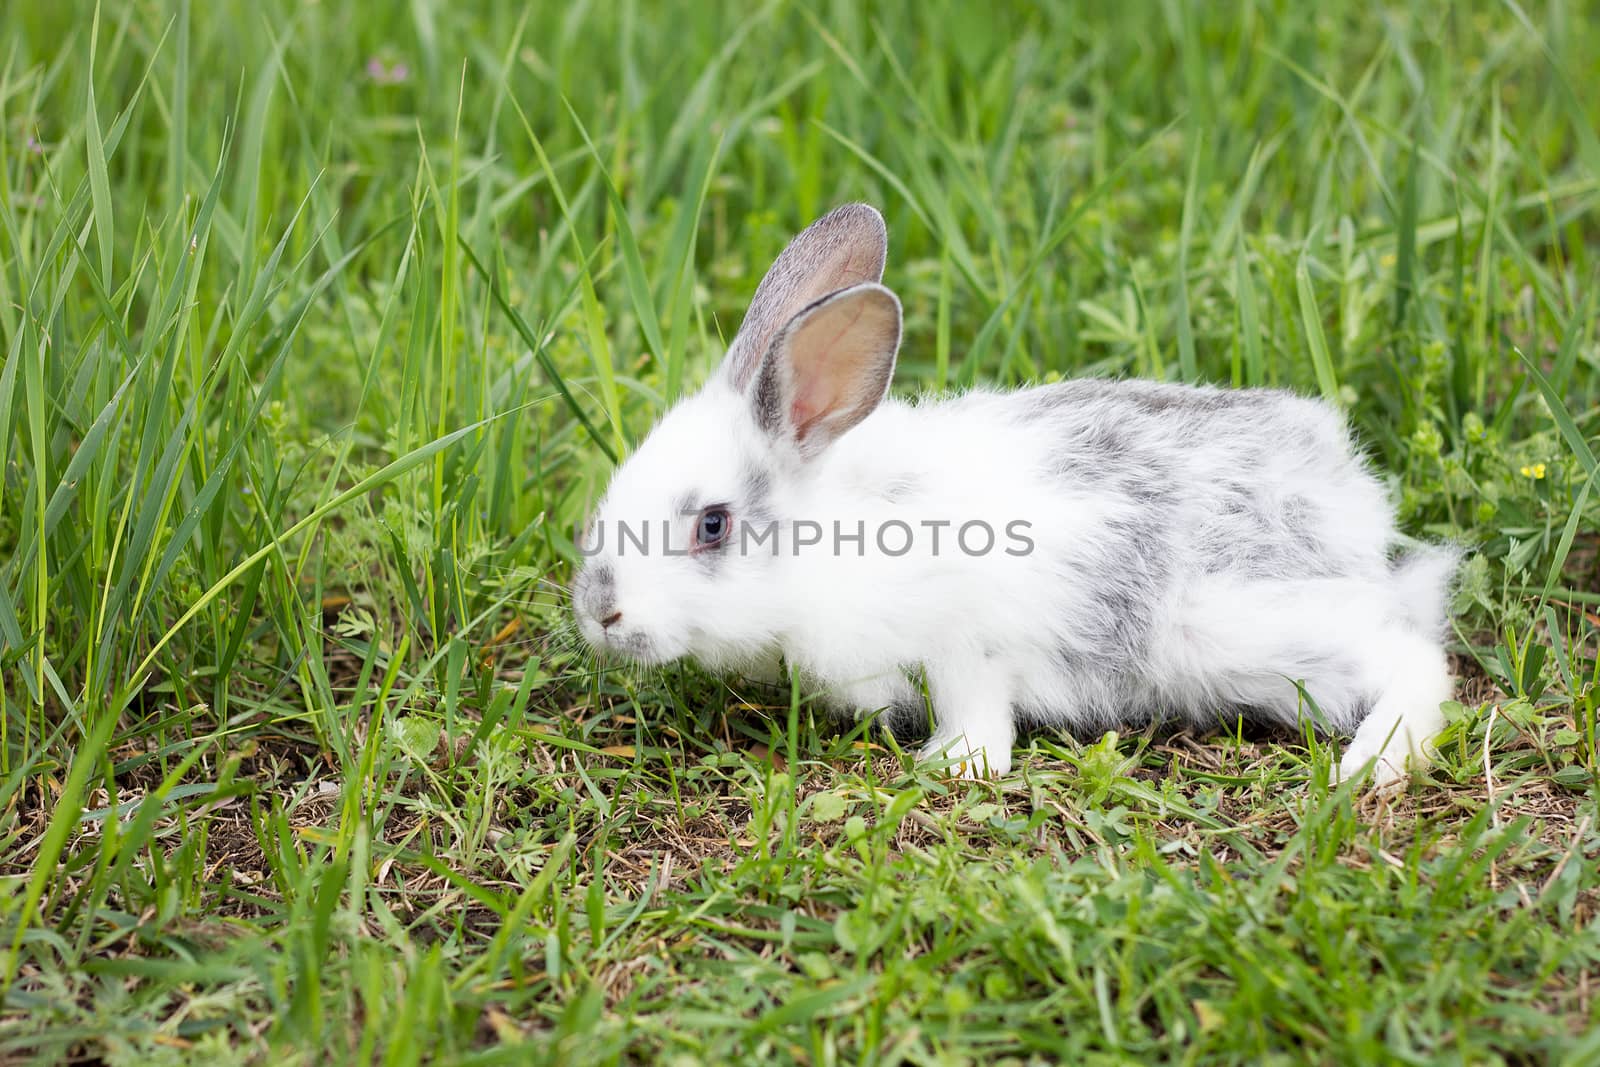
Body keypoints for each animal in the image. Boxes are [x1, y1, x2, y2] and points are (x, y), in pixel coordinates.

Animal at [569, 202, 1459, 783]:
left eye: (713, 525)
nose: (599, 611)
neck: (829, 545)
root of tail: (1352, 500)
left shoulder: (967, 643)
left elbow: (978, 711)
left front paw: (956, 766)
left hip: (1248, 631)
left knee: (1415, 657)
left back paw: (1371, 765)